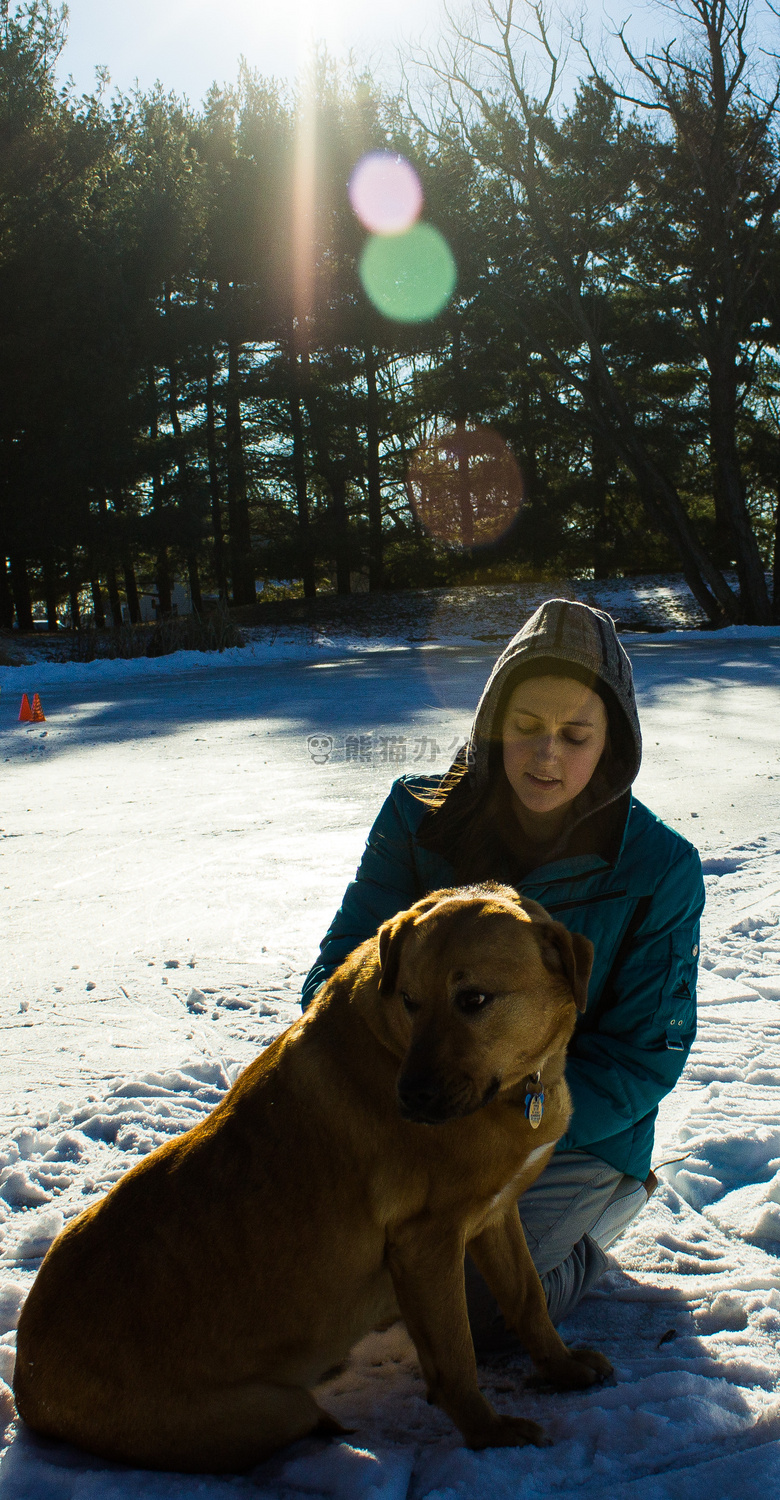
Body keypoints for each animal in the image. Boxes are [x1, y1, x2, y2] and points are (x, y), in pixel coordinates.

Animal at [10, 882, 609, 1470]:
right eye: (409, 1000)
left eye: (475, 1000)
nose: (411, 1098)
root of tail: (27, 1391)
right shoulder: (426, 1243)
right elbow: (457, 1357)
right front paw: (489, 1434)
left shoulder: (495, 1213)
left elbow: (528, 1301)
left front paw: (562, 1370)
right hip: (267, 1409)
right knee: (304, 1419)